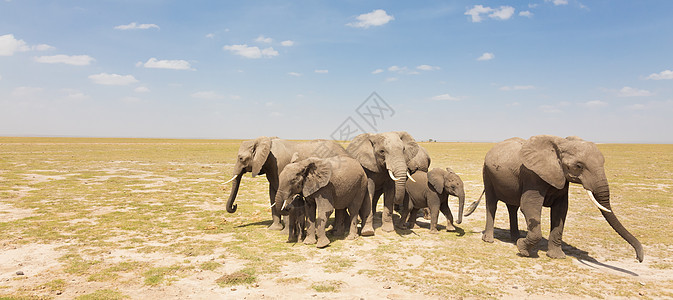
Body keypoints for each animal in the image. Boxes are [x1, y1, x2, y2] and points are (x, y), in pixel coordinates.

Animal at [464, 135, 644, 262]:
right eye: (578, 166)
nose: (639, 258)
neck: (560, 144)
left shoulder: (561, 179)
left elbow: (560, 211)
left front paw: (557, 256)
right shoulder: (532, 175)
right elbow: (529, 206)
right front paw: (523, 249)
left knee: (512, 207)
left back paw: (514, 237)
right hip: (487, 173)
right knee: (492, 203)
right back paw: (489, 240)